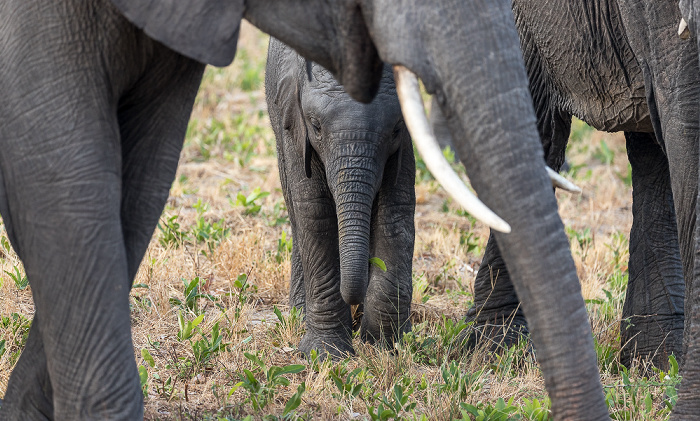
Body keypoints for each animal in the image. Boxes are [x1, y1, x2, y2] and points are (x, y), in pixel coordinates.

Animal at [0, 0, 608, 416]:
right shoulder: (293, 126)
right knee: (297, 206)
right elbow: (315, 210)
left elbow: (396, 213)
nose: (355, 307)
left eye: (393, 131)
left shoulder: (402, 151)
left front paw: (383, 341)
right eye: (315, 126)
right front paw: (330, 355)